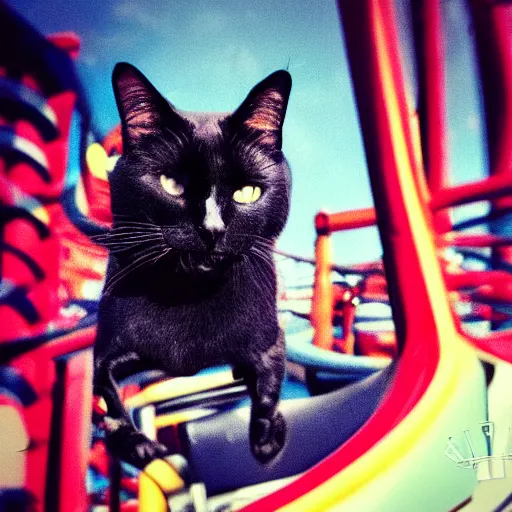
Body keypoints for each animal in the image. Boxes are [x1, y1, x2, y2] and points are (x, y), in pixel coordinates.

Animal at [92, 63, 292, 468]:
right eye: (172, 184)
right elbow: (107, 389)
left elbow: (269, 380)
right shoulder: (108, 343)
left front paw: (267, 437)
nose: (212, 229)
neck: (189, 294)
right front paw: (140, 446)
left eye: (247, 192)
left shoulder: (269, 334)